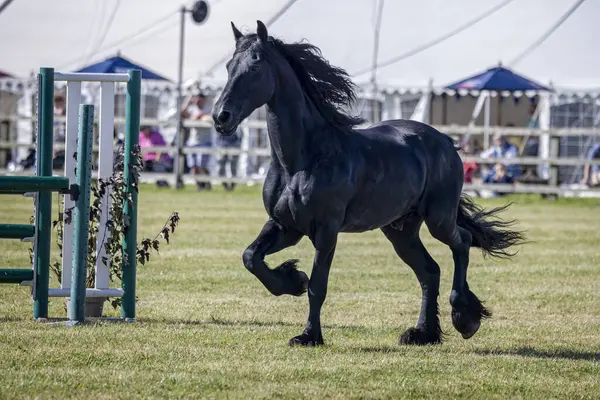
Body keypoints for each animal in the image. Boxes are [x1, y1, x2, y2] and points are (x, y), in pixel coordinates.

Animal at [212, 21, 524, 346]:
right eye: (229, 66)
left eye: (255, 67)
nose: (221, 117)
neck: (303, 159)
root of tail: (446, 142)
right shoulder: (285, 226)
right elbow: (251, 257)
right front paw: (292, 280)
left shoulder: (326, 231)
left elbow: (317, 287)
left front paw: (309, 335)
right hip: (401, 231)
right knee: (429, 271)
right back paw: (422, 333)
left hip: (438, 218)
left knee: (461, 242)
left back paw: (465, 318)